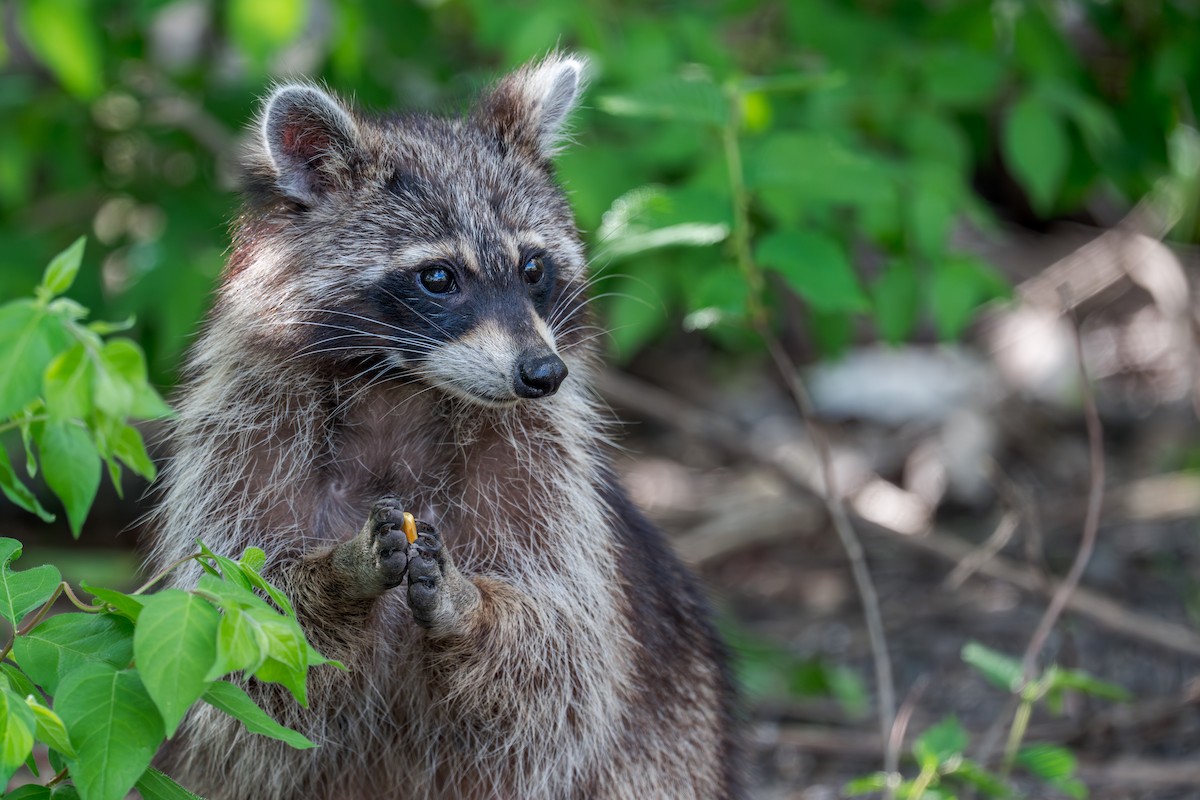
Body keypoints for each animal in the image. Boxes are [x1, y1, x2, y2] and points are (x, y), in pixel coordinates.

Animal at [150, 54, 741, 799]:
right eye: (438, 277)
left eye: (533, 267)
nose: (542, 373)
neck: (402, 391)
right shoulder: (246, 436)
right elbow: (243, 649)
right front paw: (333, 578)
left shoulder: (541, 471)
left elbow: (564, 661)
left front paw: (470, 607)